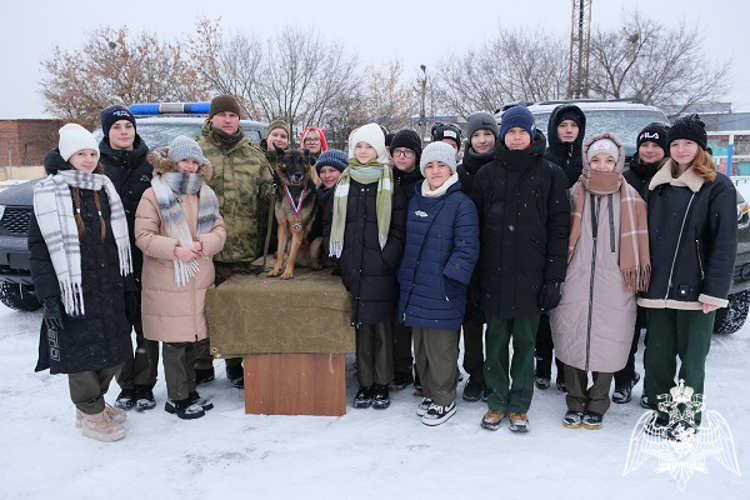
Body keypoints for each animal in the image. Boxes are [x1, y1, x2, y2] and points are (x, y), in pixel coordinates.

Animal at [268, 146, 320, 280]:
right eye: (289, 161)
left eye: (302, 162)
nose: (298, 175)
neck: (292, 190)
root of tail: (305, 262)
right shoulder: (282, 229)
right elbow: (280, 254)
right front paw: (276, 270)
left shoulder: (298, 229)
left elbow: (292, 256)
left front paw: (287, 273)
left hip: (316, 242)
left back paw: (315, 264)